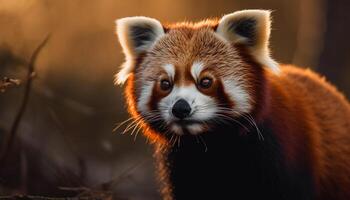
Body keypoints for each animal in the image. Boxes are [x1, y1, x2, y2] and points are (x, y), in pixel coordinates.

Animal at [115, 9, 350, 200]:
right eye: (166, 84)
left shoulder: (282, 156)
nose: (180, 108)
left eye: (205, 82)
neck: (212, 143)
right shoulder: (180, 166)